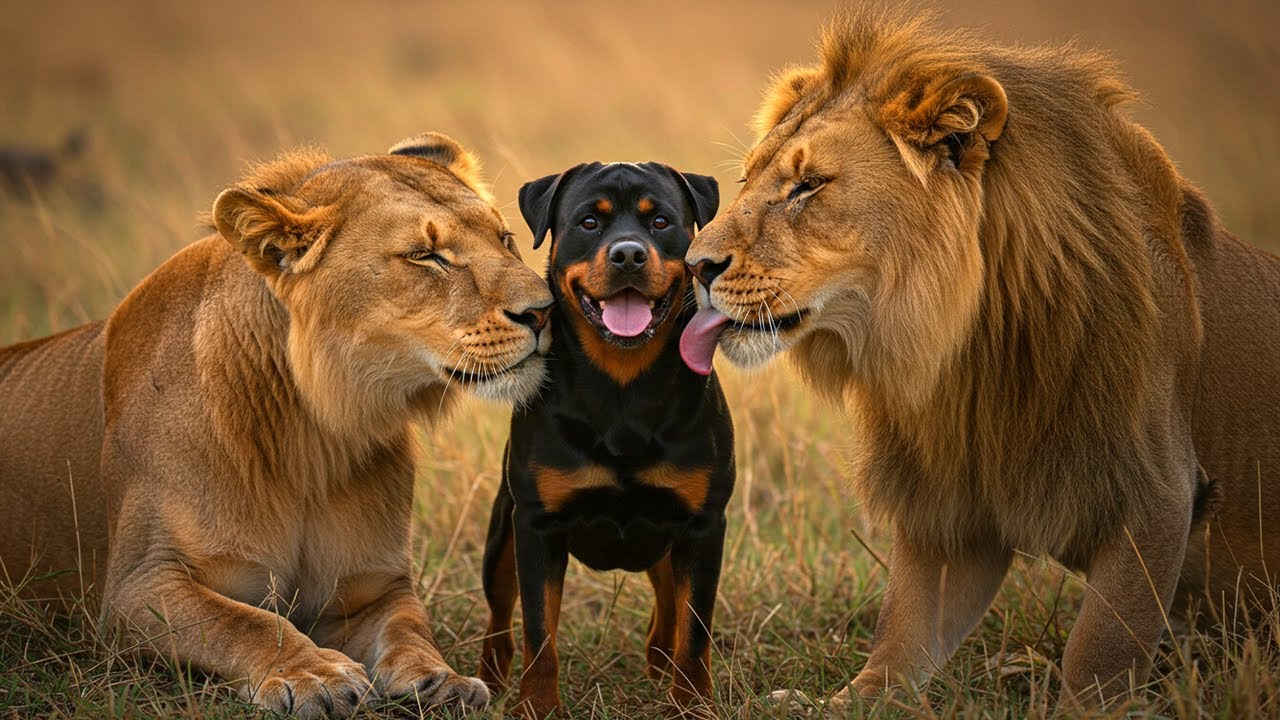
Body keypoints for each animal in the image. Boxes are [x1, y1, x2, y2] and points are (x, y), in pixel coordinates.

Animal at [0, 133, 554, 717]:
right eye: (426, 256)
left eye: (505, 239)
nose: (545, 312)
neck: (315, 436)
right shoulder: (135, 587)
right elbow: (247, 623)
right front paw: (315, 675)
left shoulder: (373, 588)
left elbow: (410, 629)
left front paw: (442, 680)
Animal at [681, 10, 1280, 710]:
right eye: (747, 180)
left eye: (808, 186)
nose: (693, 265)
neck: (969, 350)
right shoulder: (953, 503)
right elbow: (902, 634)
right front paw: (831, 702)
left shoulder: (1158, 492)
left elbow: (1098, 650)